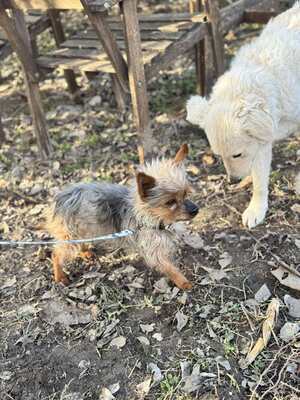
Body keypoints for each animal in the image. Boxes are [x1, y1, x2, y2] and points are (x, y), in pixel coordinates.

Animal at [44, 145, 199, 290]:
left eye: (185, 193)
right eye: (170, 202)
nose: (195, 210)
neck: (151, 218)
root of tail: (61, 197)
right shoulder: (153, 252)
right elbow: (169, 267)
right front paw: (183, 282)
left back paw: (85, 252)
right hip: (70, 235)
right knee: (56, 254)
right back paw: (60, 276)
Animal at [186, 3, 298, 228]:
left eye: (236, 154)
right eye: (219, 156)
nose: (233, 181)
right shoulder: (261, 143)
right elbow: (260, 180)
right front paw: (257, 209)